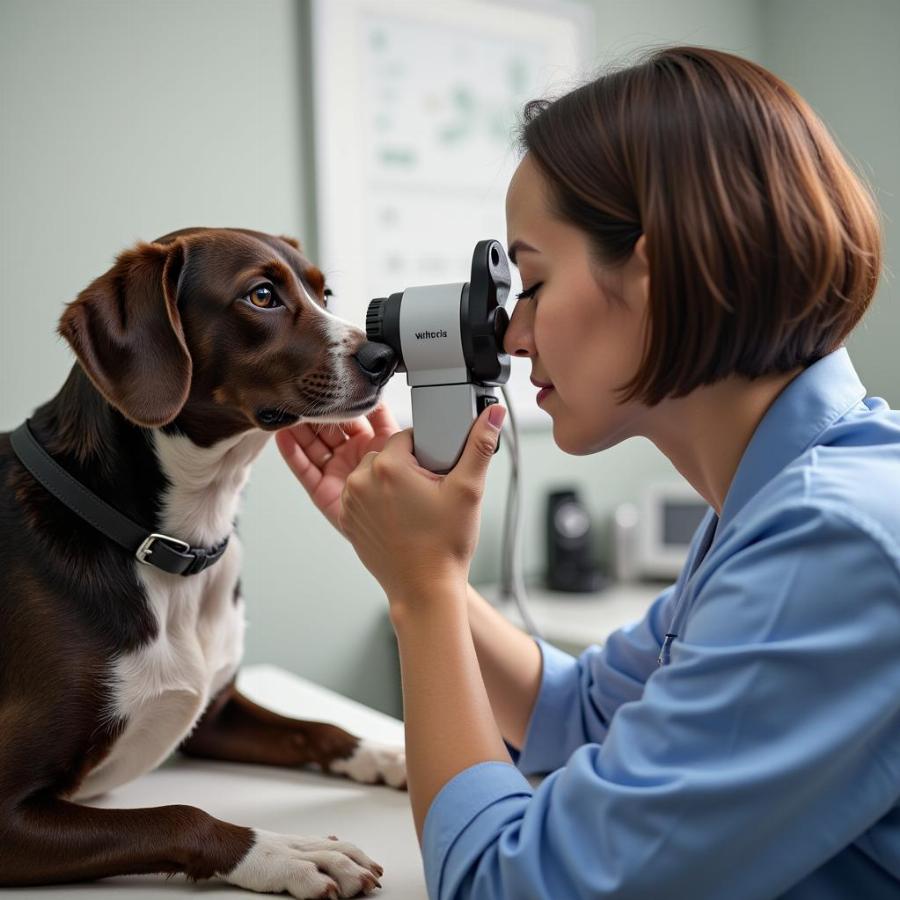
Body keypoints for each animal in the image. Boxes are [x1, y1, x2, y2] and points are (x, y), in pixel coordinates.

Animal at [0, 229, 404, 896]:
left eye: (324, 293)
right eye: (261, 295)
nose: (385, 356)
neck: (173, 546)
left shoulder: (214, 715)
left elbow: (319, 727)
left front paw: (386, 751)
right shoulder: (8, 808)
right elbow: (179, 814)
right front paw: (288, 852)